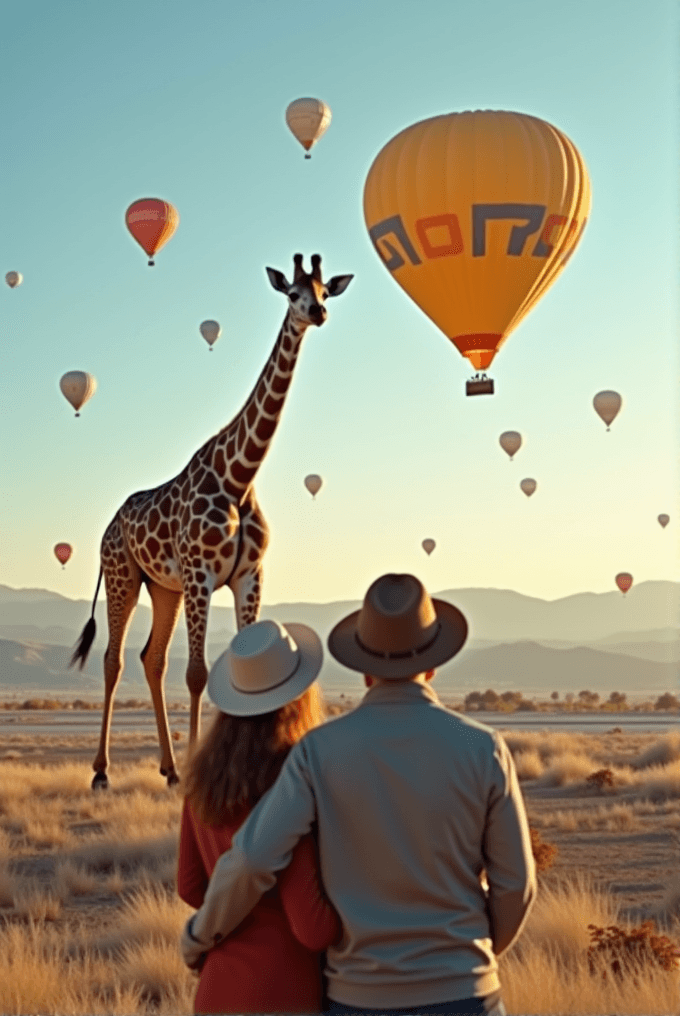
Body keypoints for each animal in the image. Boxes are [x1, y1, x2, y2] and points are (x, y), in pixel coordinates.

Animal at [71, 249, 353, 788]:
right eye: (293, 293)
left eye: (327, 289)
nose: (320, 313)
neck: (238, 476)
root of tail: (108, 526)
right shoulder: (201, 573)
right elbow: (198, 673)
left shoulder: (248, 576)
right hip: (124, 577)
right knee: (114, 659)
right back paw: (101, 772)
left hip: (164, 588)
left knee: (152, 659)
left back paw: (169, 769)